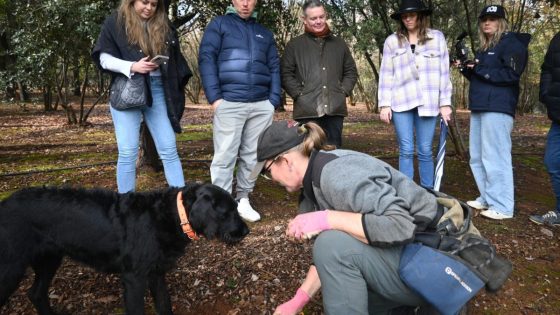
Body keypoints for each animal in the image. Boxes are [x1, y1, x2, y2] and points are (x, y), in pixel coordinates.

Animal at [0, 184, 249, 314]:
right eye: (227, 211)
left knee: (36, 293)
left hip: (49, 260)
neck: (171, 215)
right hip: (11, 269)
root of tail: (4, 204)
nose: (246, 231)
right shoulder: (134, 278)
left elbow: (164, 304)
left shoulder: (156, 273)